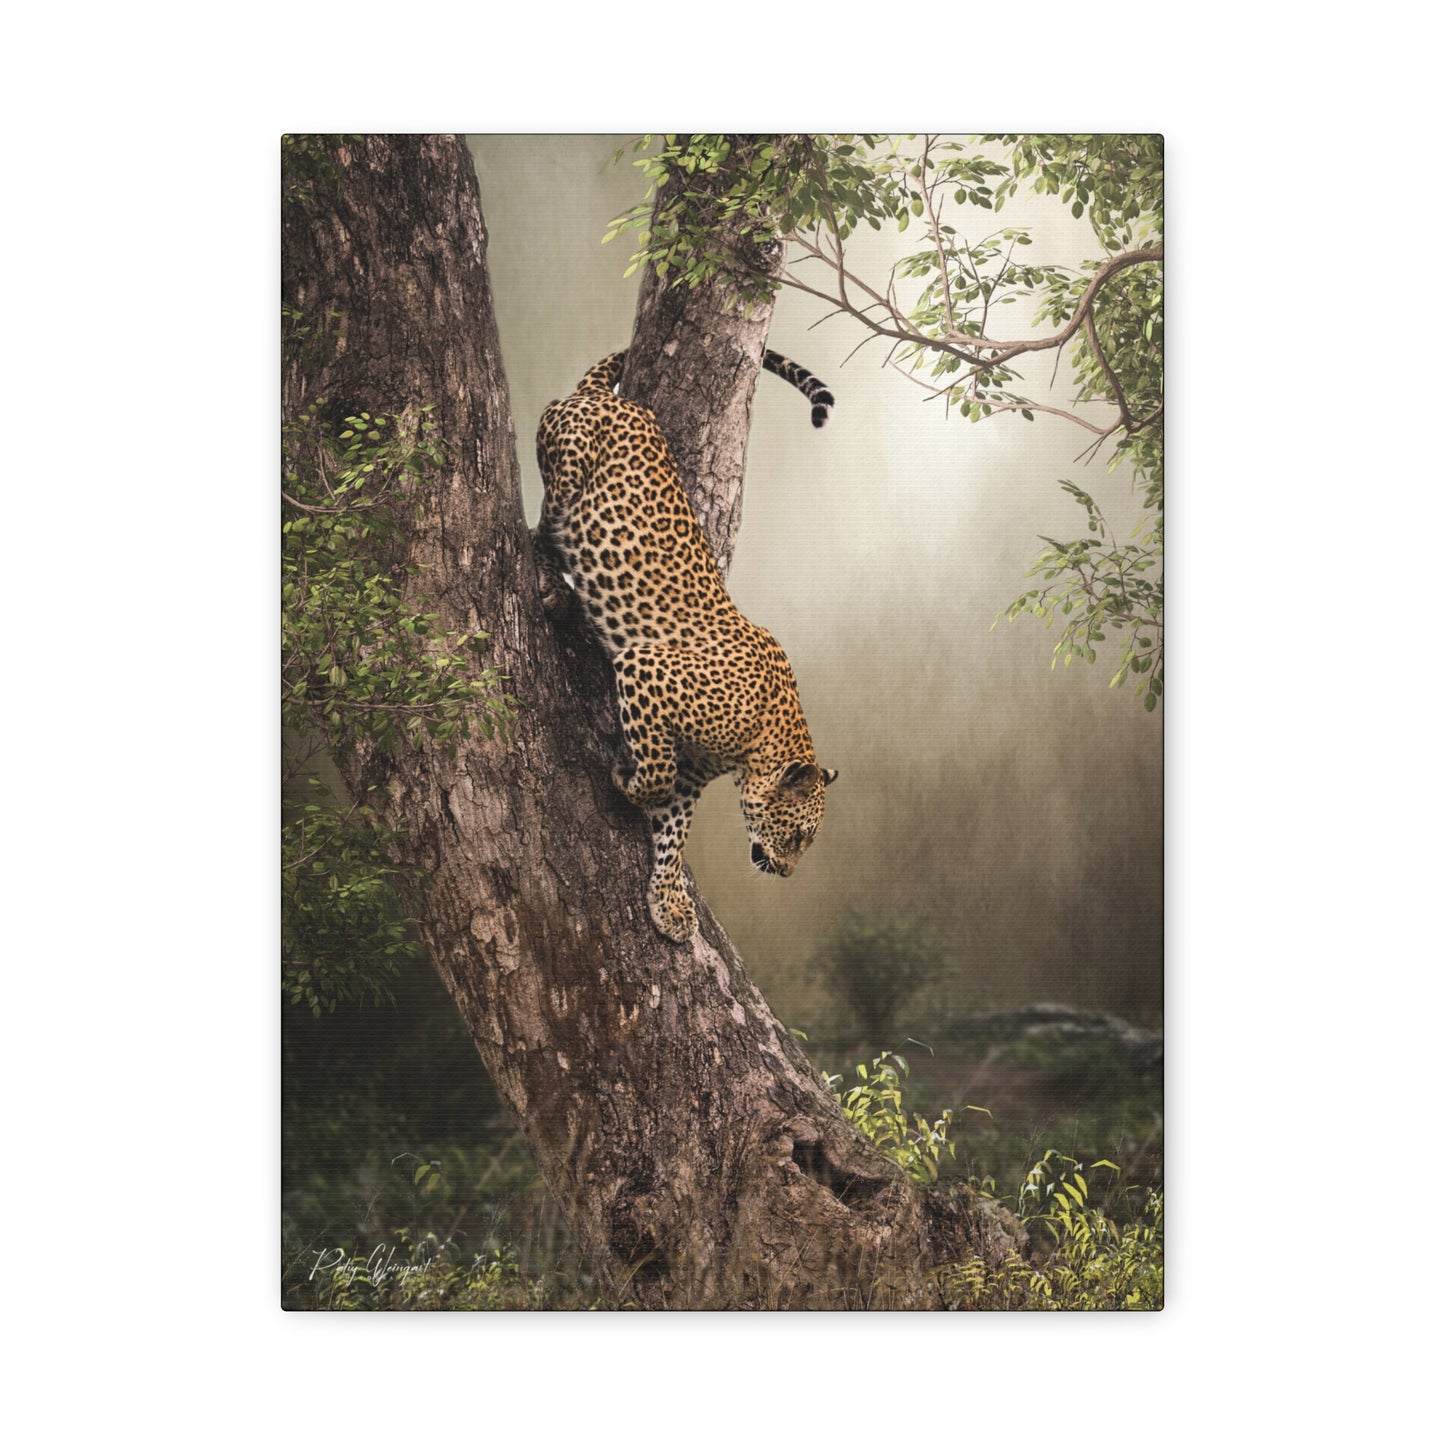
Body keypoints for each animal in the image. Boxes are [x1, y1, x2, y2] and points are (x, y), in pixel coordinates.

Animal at [534, 348, 839, 943]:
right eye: (798, 838)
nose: (787, 873)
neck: (762, 741)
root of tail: (611, 399)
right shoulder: (645, 667)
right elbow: (656, 774)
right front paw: (626, 778)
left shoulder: (695, 776)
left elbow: (674, 830)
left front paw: (669, 903)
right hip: (567, 467)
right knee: (538, 525)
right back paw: (552, 581)